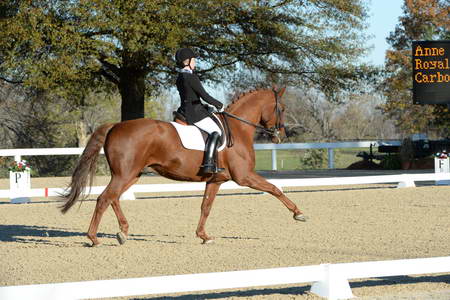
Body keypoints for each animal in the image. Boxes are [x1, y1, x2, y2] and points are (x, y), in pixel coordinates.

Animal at [59, 88, 306, 246]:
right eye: (282, 108)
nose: (279, 136)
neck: (238, 127)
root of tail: (115, 126)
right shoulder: (244, 176)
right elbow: (274, 188)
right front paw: (299, 214)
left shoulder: (216, 180)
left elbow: (206, 207)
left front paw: (204, 236)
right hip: (125, 174)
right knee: (104, 199)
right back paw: (94, 238)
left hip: (131, 174)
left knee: (113, 198)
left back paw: (123, 232)